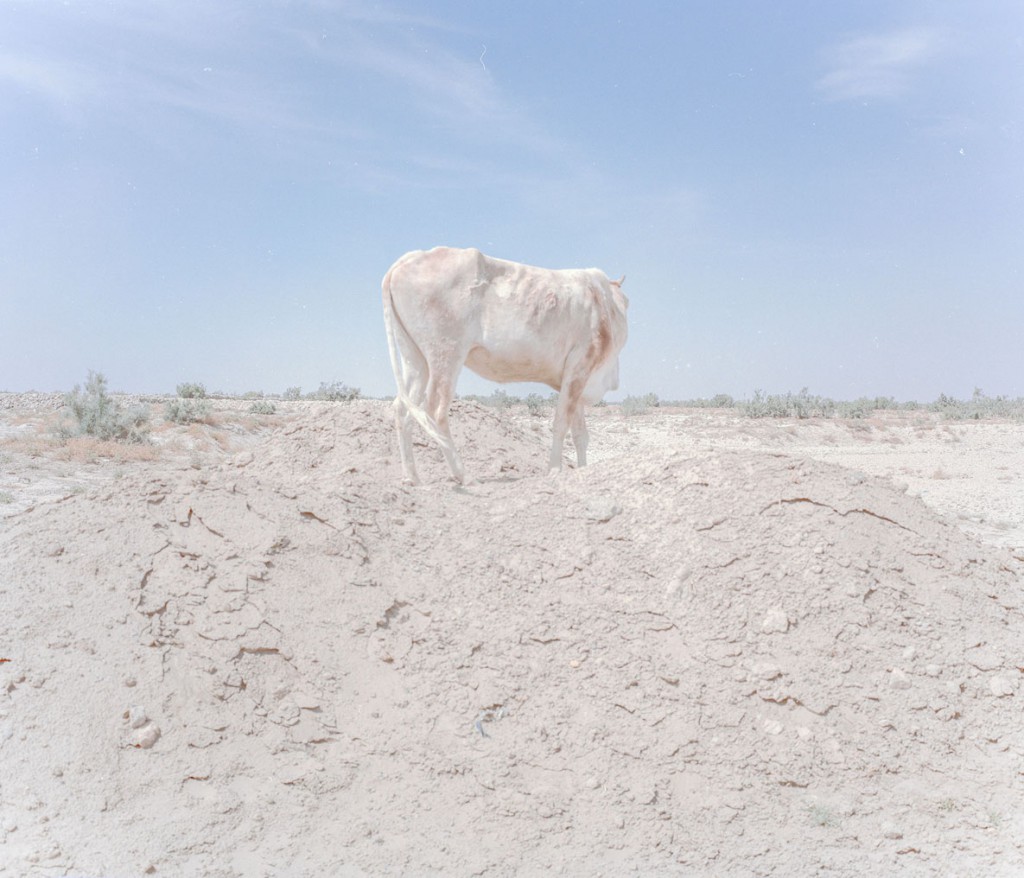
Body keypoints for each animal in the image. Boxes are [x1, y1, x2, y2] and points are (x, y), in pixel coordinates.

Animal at [382, 242, 626, 483]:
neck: (603, 301)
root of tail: (410, 258)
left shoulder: (576, 378)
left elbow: (580, 433)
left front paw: (583, 470)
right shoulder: (580, 365)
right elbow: (561, 423)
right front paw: (555, 470)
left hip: (416, 359)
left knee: (403, 409)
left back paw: (412, 477)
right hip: (446, 355)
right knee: (435, 411)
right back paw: (464, 475)